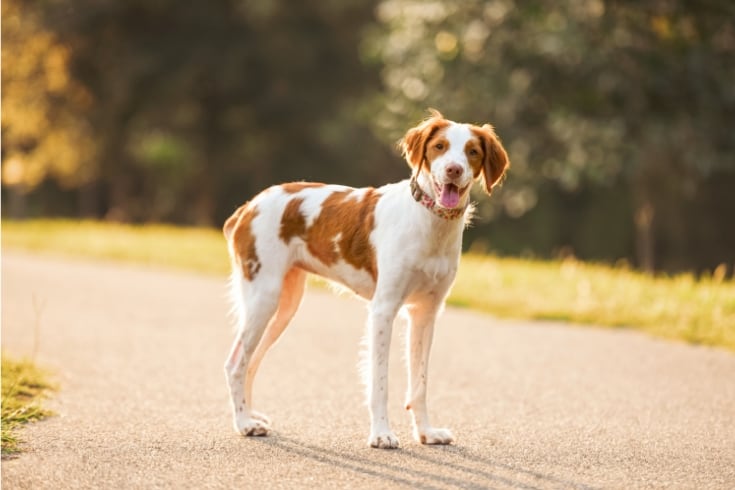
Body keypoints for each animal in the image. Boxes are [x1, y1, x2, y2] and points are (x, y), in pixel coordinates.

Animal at [224, 110, 512, 448]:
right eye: (439, 146)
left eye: (472, 151)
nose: (453, 170)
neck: (430, 224)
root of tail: (248, 206)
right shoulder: (384, 309)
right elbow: (380, 381)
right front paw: (382, 433)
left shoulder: (426, 313)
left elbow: (420, 383)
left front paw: (426, 433)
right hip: (264, 296)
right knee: (236, 363)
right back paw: (244, 423)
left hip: (285, 303)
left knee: (252, 361)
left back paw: (251, 416)